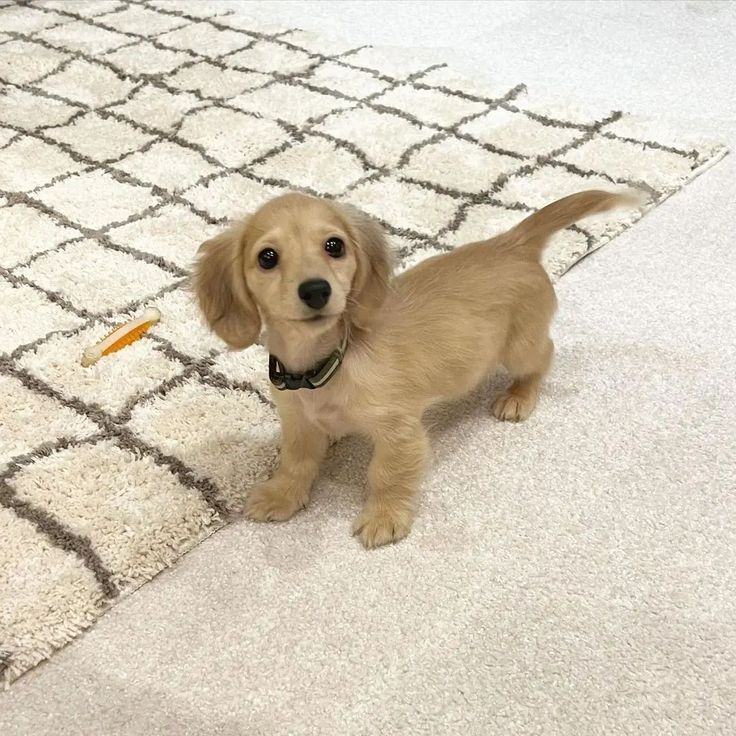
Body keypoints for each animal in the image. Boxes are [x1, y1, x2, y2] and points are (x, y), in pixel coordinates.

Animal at [193, 190, 636, 548]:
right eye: (267, 257)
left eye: (334, 246)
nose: (316, 290)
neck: (330, 362)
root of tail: (511, 243)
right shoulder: (298, 422)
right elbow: (295, 462)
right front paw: (281, 495)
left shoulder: (400, 430)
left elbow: (387, 473)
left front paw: (384, 516)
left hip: (519, 348)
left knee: (544, 355)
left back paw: (518, 396)